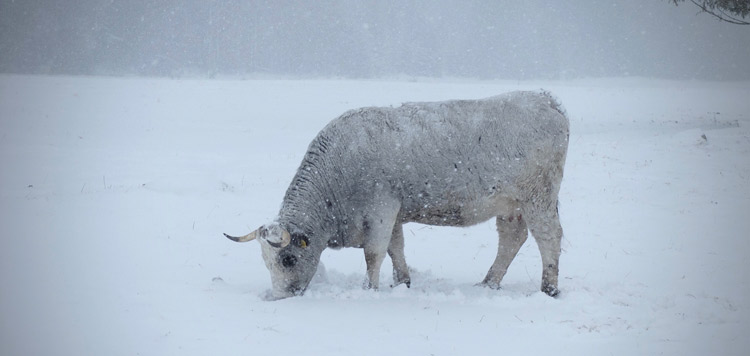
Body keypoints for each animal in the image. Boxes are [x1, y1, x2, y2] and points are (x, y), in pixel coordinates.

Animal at [223, 90, 568, 298]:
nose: (280, 298)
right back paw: (488, 283)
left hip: (539, 197)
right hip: (511, 206)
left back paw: (549, 288)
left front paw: (369, 289)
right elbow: (395, 248)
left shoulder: (380, 209)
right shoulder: (394, 213)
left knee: (549, 236)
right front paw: (402, 282)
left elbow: (374, 252)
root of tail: (546, 98)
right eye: (267, 263)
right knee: (511, 239)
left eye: (289, 259)